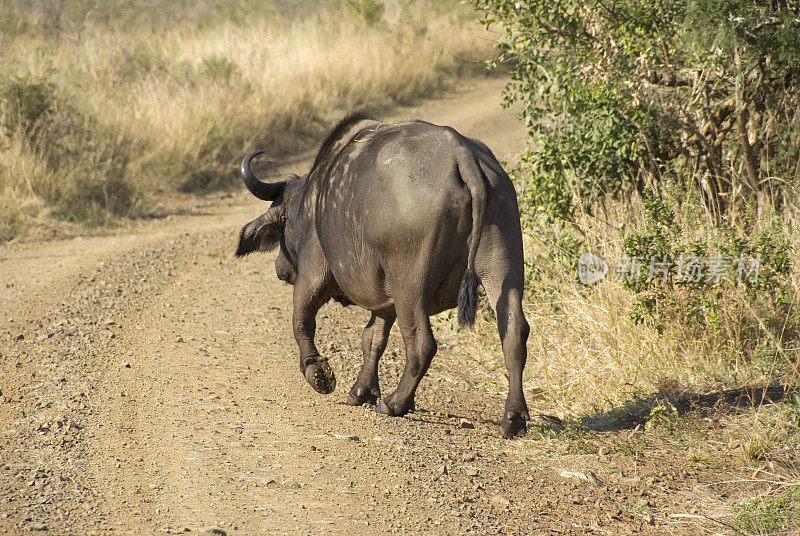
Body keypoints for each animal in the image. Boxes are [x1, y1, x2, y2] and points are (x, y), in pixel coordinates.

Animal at [233, 112, 532, 436]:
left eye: (284, 224)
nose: (280, 268)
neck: (314, 198)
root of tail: (461, 155)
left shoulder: (313, 276)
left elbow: (301, 322)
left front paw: (319, 373)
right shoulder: (383, 302)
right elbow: (372, 339)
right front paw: (361, 391)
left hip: (409, 287)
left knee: (421, 343)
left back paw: (395, 403)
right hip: (502, 266)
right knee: (514, 332)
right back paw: (514, 418)